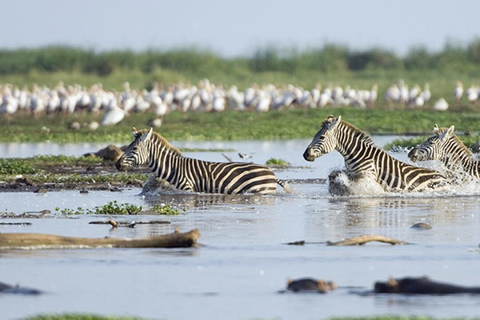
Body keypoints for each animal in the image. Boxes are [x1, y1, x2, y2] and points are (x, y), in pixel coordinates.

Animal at [116, 128, 290, 195]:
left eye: (134, 149)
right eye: (128, 147)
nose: (117, 164)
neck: (173, 167)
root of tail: (272, 173)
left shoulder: (187, 188)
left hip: (261, 191)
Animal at [304, 114, 446, 192]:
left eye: (321, 137)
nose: (305, 155)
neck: (357, 155)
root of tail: (444, 177)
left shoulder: (368, 176)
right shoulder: (351, 172)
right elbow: (335, 175)